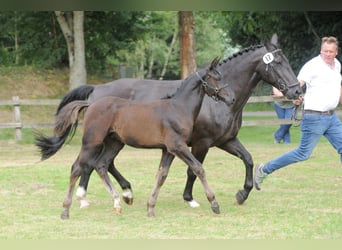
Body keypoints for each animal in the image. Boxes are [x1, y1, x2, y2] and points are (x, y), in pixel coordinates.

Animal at [36, 36, 300, 210]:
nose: (297, 90)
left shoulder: (226, 140)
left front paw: (242, 193)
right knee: (93, 162)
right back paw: (88, 196)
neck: (216, 102)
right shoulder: (202, 143)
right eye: (277, 62)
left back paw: (122, 193)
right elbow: (193, 169)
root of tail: (96, 91)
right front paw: (191, 198)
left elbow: (248, 159)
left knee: (103, 163)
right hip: (102, 138)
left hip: (114, 140)